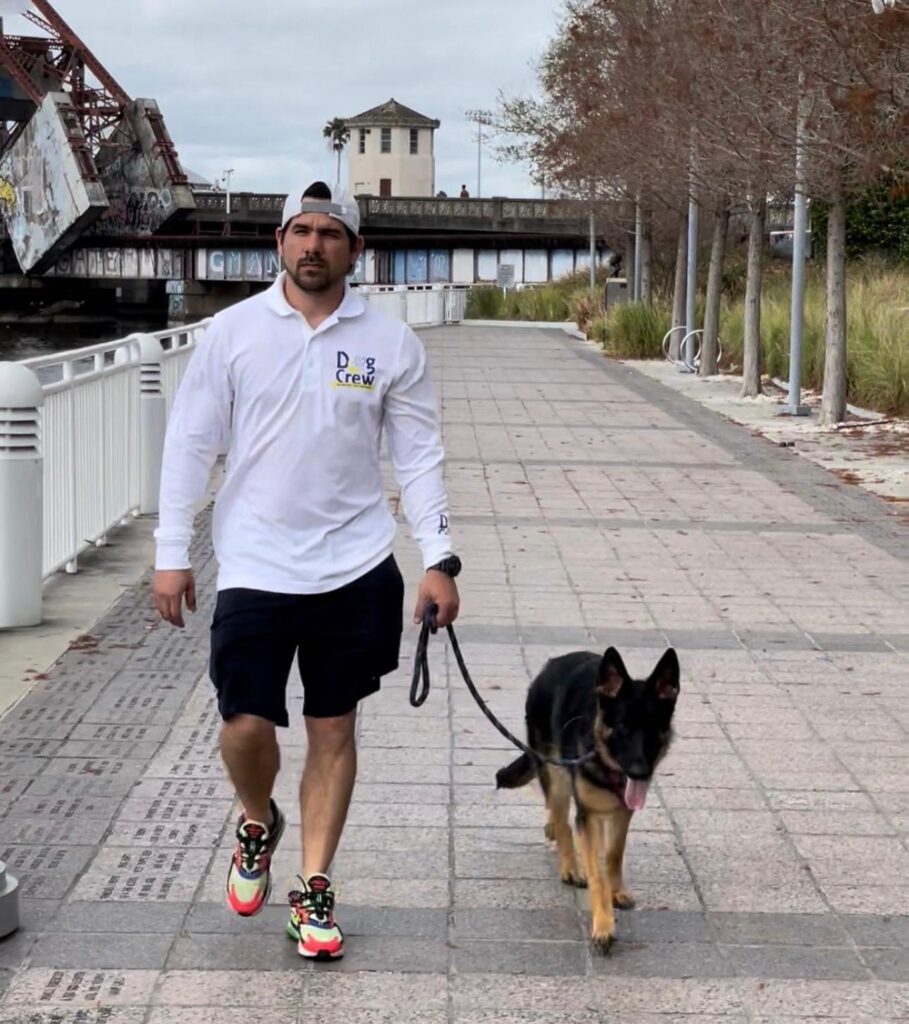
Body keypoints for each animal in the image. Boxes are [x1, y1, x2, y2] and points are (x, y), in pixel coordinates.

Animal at [496, 646, 680, 952]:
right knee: (562, 819)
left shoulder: (622, 812)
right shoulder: (589, 815)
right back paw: (570, 865)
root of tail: (553, 663)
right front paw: (603, 924)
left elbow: (614, 855)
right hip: (556, 774)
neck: (605, 762)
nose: (639, 772)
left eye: (653, 727)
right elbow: (597, 875)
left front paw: (617, 890)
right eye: (622, 726)